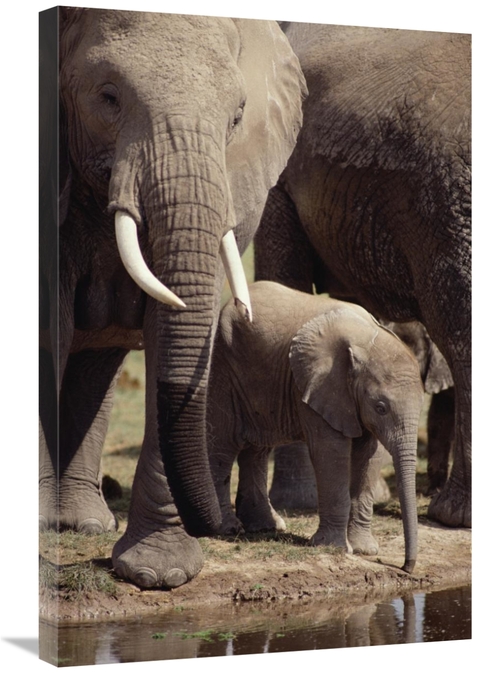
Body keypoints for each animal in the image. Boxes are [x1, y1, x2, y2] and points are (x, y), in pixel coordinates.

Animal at [39, 7, 306, 589]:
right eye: (108, 98)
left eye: (237, 117)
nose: (227, 528)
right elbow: (50, 328)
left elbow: (171, 331)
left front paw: (158, 574)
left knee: (98, 366)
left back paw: (83, 524)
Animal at [208, 281, 424, 572]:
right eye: (380, 407)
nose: (405, 567)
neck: (367, 341)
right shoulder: (320, 386)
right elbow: (330, 454)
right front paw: (333, 548)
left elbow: (368, 457)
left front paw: (364, 550)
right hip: (223, 364)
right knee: (224, 444)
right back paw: (228, 529)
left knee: (257, 449)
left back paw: (266, 527)